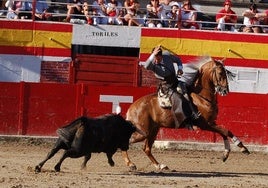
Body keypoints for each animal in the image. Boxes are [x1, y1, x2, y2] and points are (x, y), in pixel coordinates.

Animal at [122, 55, 250, 170]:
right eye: (220, 73)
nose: (225, 90)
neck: (201, 97)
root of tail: (132, 107)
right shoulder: (205, 124)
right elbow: (225, 131)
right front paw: (242, 147)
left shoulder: (212, 123)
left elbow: (224, 132)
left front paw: (226, 154)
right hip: (143, 132)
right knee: (128, 141)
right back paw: (131, 164)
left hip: (153, 130)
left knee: (147, 148)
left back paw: (160, 165)